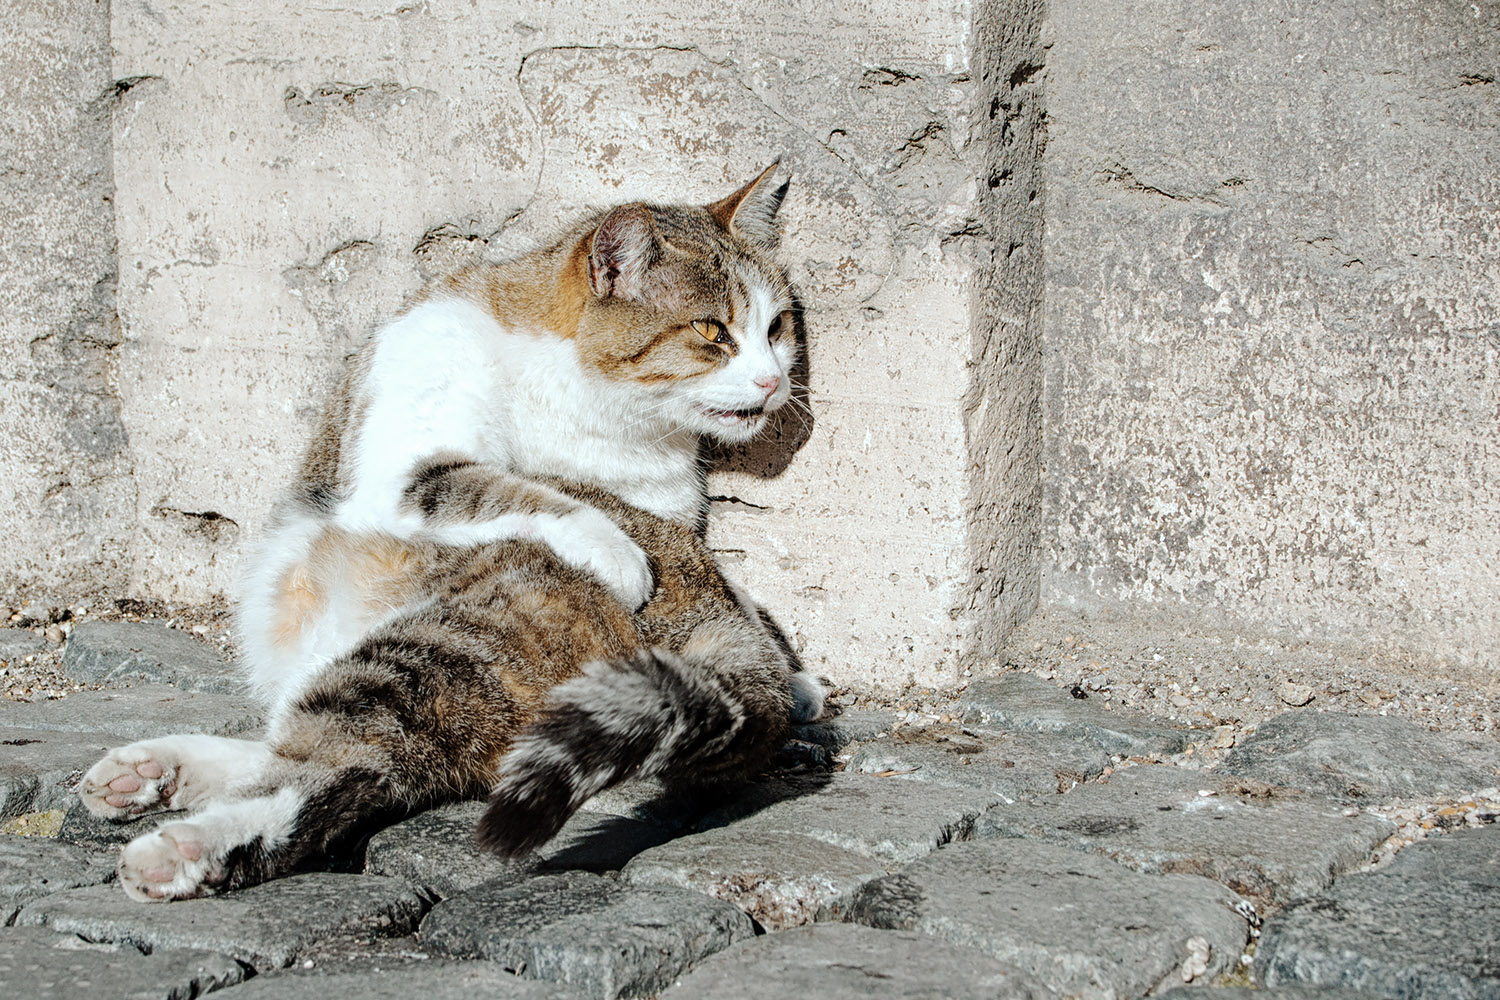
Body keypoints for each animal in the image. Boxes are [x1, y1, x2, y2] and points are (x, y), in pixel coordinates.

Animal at [76, 167, 828, 905]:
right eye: (712, 330)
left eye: (778, 326)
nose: (774, 380)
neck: (593, 414)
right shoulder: (406, 463)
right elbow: (509, 488)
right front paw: (616, 551)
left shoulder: (667, 511)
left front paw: (796, 678)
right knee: (328, 758)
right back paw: (162, 788)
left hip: (434, 656)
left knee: (343, 763)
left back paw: (180, 828)